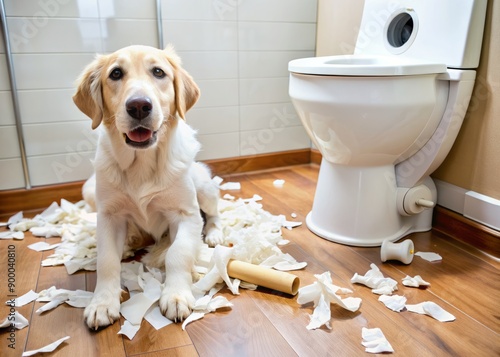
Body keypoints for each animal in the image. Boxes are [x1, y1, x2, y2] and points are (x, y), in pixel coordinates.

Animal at [72, 44, 223, 328]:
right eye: (116, 73)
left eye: (158, 72)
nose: (139, 106)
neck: (141, 165)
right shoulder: (109, 216)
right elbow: (106, 260)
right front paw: (102, 303)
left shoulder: (186, 214)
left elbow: (178, 253)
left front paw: (176, 296)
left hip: (204, 188)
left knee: (214, 213)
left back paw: (214, 233)